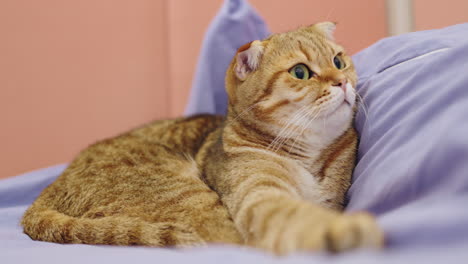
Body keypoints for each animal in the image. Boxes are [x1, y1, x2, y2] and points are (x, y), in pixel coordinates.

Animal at [21, 23, 384, 256]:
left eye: (338, 60)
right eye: (300, 72)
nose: (342, 82)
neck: (309, 155)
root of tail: (47, 192)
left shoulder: (332, 195)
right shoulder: (259, 195)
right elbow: (290, 216)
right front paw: (338, 232)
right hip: (185, 193)